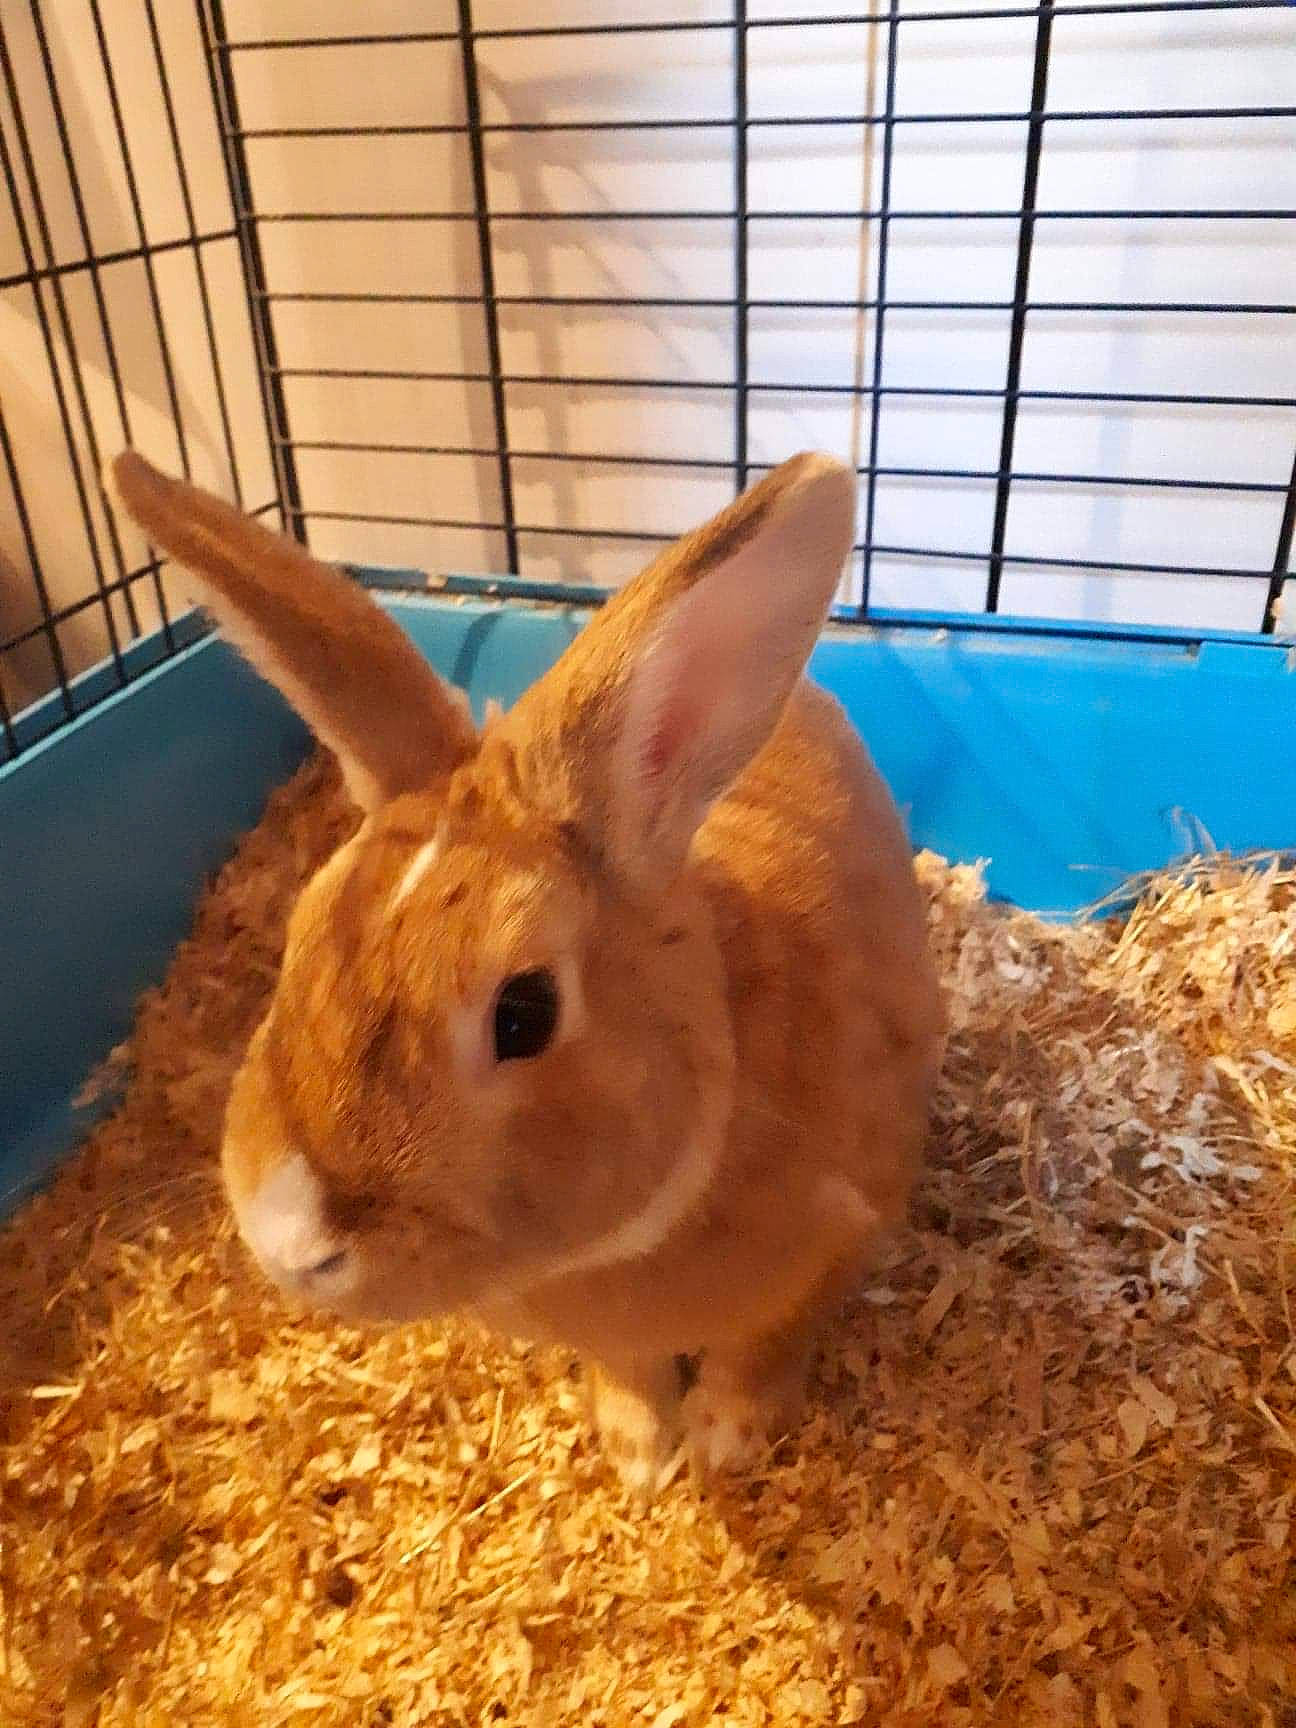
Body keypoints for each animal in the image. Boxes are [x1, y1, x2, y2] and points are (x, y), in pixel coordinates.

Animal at [106, 448, 945, 1494]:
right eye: (297, 940)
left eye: (525, 1014)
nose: (288, 1245)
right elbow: (626, 1368)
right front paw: (637, 1450)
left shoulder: (840, 1241)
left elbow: (762, 1350)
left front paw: (722, 1441)